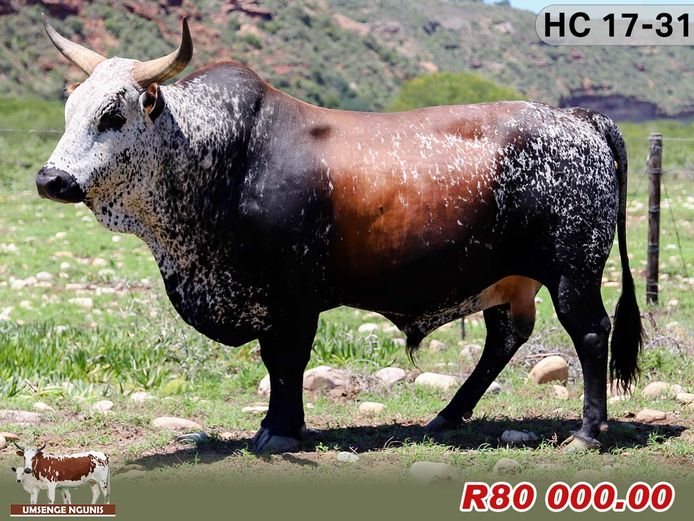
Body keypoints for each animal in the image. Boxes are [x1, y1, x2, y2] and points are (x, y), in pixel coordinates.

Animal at [37, 16, 642, 454]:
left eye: (113, 115)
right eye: (69, 109)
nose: (51, 179)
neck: (220, 156)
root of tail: (580, 119)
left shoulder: (292, 298)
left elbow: (287, 361)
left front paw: (281, 430)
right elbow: (276, 363)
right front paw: (280, 424)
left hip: (573, 271)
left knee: (591, 333)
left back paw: (586, 433)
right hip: (508, 279)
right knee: (505, 339)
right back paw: (446, 417)